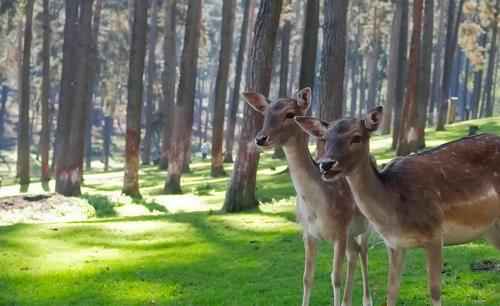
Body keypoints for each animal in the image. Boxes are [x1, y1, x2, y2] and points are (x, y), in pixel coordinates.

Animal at [242, 87, 372, 306]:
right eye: (265, 113)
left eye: (290, 114)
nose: (260, 139)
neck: (318, 207)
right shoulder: (308, 233)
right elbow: (306, 278)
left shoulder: (340, 231)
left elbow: (335, 278)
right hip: (352, 234)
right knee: (354, 253)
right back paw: (349, 301)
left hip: (367, 225)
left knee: (363, 252)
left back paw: (367, 300)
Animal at [294, 105, 500, 306]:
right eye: (324, 138)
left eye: (356, 137)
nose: (326, 164)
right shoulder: (394, 244)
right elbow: (391, 294)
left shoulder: (435, 234)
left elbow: (434, 292)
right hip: (491, 230)